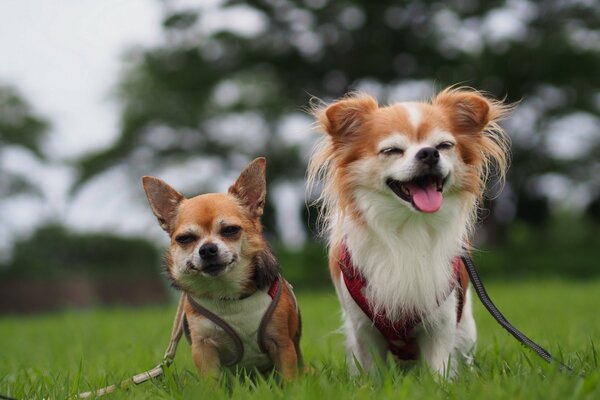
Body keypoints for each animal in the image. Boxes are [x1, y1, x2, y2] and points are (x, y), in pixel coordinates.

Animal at [310, 87, 510, 376]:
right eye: (392, 150)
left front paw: (440, 383)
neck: (409, 228)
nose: (428, 153)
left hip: (465, 330)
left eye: (444, 146)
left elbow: (439, 368)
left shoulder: (441, 321)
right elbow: (372, 371)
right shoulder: (363, 328)